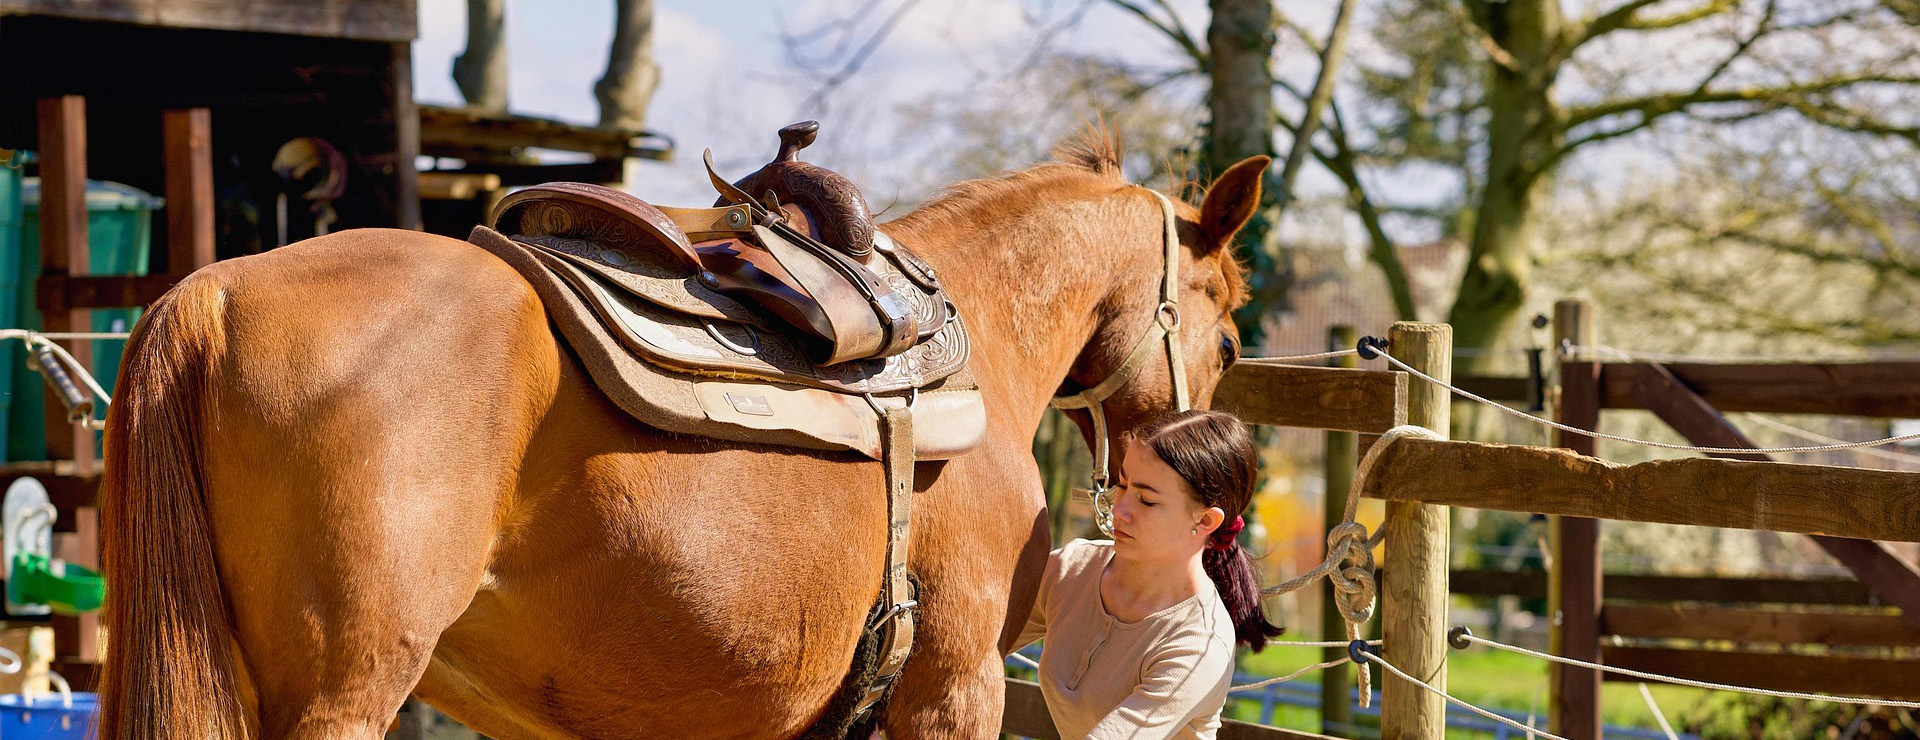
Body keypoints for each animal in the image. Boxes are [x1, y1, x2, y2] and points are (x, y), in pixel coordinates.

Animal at [98, 133, 1269, 740]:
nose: (1197, 464)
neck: (970, 330)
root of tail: (211, 293)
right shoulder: (956, 684)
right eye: (1229, 329)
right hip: (336, 696)